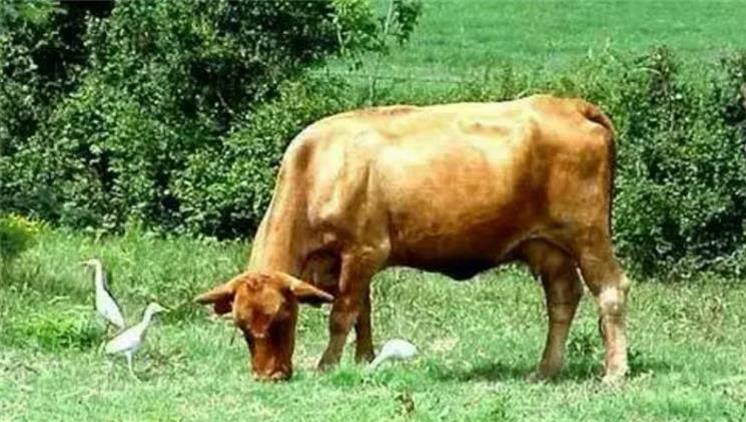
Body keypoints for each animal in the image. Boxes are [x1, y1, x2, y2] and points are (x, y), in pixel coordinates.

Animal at [196, 94, 630, 384]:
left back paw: (614, 371)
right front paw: (364, 358)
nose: (268, 376)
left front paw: (327, 365)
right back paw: (545, 369)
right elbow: (362, 312)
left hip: (588, 235)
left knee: (611, 290)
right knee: (563, 298)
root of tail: (568, 104)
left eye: (284, 317)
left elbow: (342, 315)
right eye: (242, 326)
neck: (319, 166)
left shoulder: (364, 251)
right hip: (546, 246)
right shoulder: (348, 262)